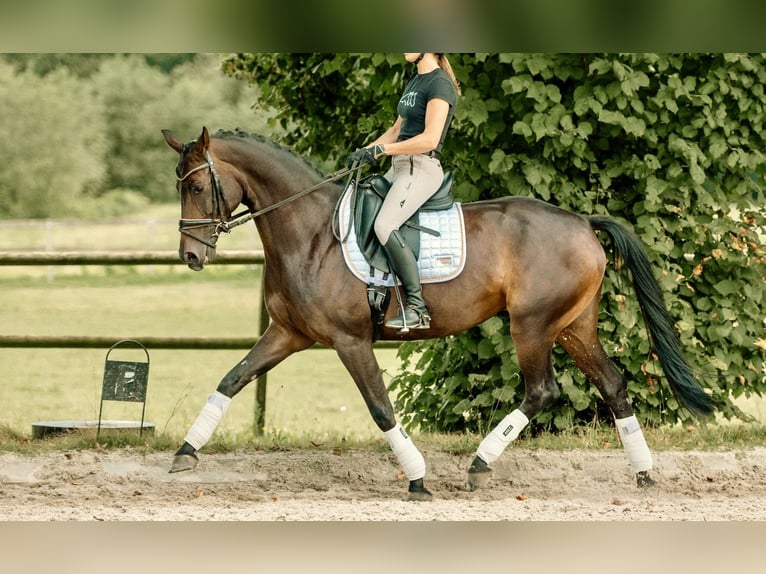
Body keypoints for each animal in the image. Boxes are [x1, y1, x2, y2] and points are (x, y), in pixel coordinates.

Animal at [161, 126, 714, 501]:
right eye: (178, 186)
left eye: (196, 188)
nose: (190, 256)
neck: (312, 233)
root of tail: (581, 221)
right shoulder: (287, 334)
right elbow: (232, 379)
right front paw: (185, 454)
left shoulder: (349, 340)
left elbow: (381, 408)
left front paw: (417, 478)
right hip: (574, 326)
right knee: (614, 385)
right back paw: (643, 474)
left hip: (532, 325)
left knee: (542, 391)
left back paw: (480, 464)